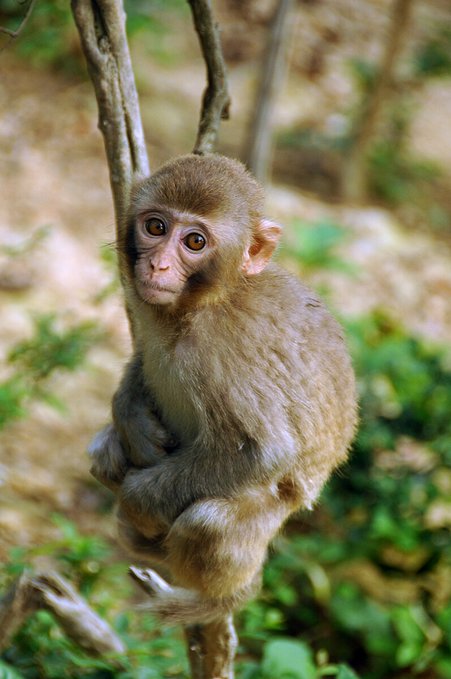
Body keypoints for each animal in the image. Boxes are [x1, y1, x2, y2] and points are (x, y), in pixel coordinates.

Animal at [87, 155, 356, 628]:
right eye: (155, 227)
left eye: (195, 241)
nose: (158, 266)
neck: (198, 307)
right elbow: (144, 359)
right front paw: (131, 415)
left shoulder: (228, 353)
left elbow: (265, 451)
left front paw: (138, 499)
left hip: (264, 518)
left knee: (208, 521)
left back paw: (215, 599)